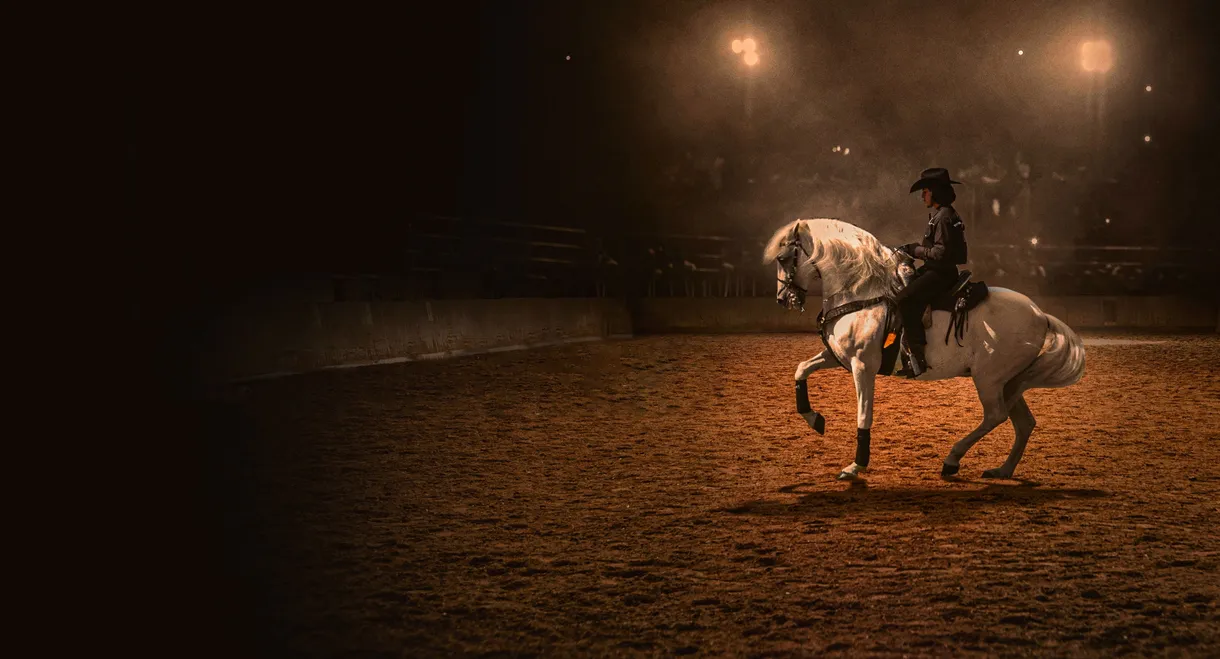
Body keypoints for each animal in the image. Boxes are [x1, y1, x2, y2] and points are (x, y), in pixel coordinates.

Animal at [763, 218, 1086, 481]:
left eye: (783, 257)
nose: (783, 298)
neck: (861, 292)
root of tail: (1040, 315)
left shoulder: (863, 365)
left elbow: (864, 415)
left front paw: (856, 466)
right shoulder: (838, 356)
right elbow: (801, 369)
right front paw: (814, 419)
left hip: (989, 379)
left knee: (996, 416)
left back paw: (952, 460)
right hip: (1009, 382)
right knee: (1023, 423)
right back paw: (1002, 470)